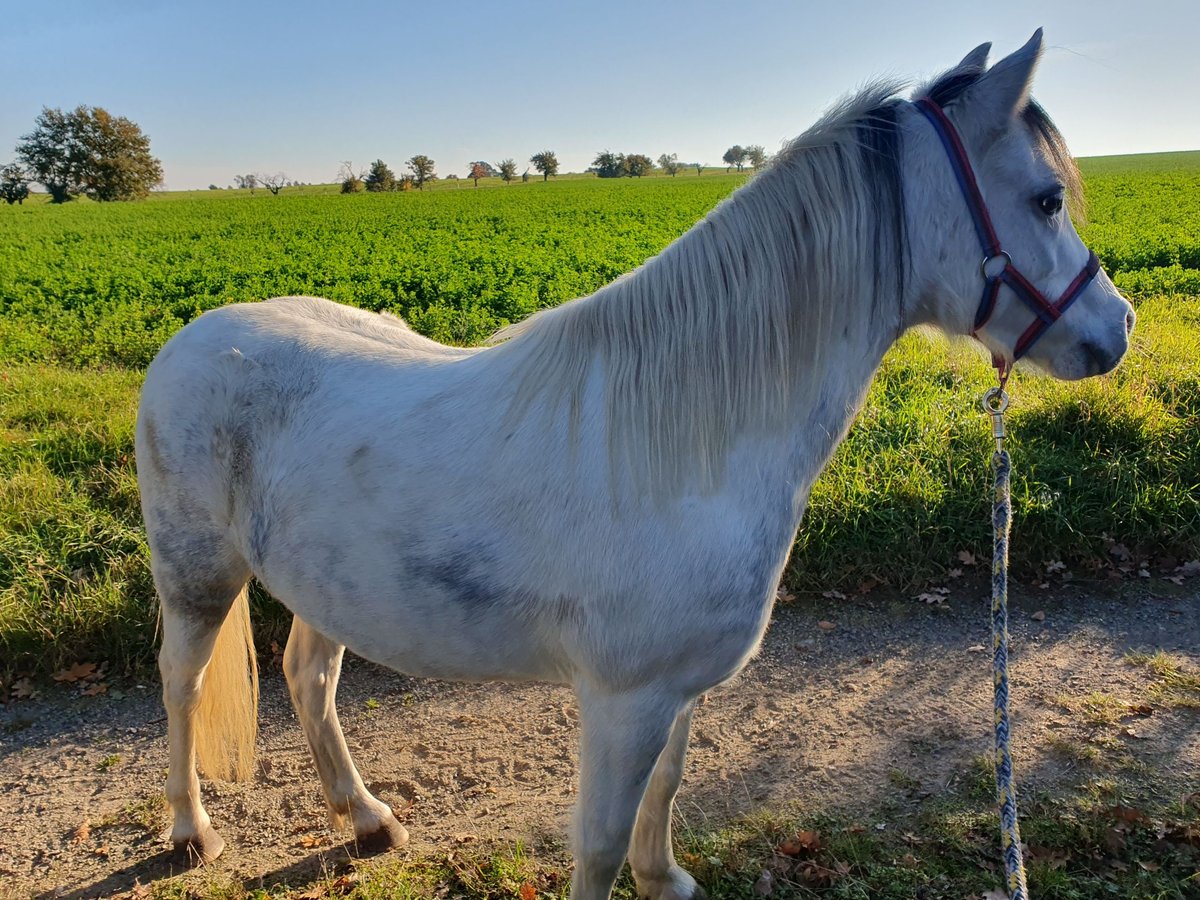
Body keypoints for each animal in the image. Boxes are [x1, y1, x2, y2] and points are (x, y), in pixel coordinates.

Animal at [138, 31, 1132, 900]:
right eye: (1047, 198)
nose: (1116, 329)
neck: (689, 450)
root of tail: (193, 338)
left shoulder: (677, 691)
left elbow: (669, 788)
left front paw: (667, 878)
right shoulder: (622, 702)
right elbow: (601, 844)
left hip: (327, 585)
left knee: (310, 678)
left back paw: (368, 819)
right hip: (197, 576)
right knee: (181, 682)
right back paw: (191, 834)